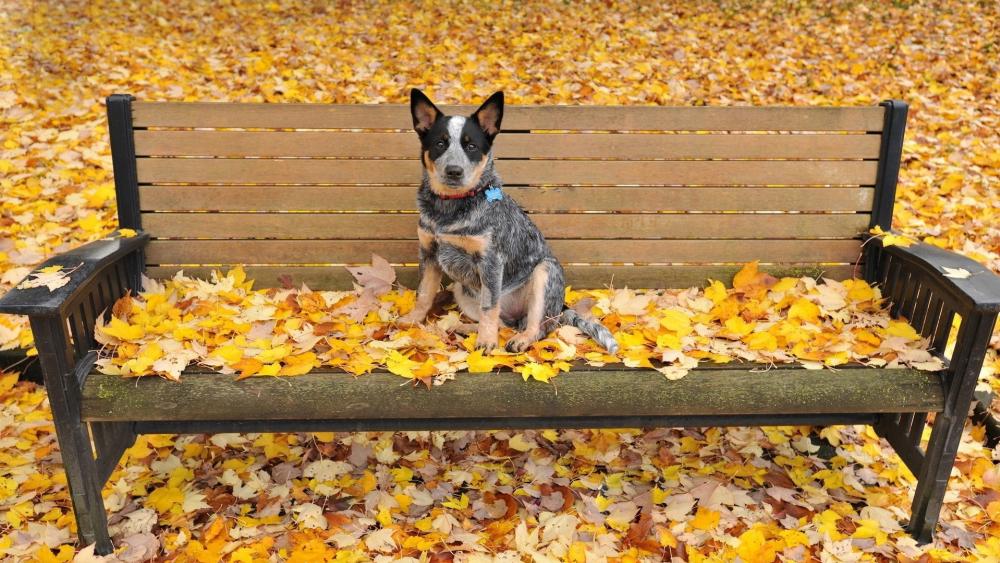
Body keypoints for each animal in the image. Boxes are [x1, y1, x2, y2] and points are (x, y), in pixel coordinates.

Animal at [398, 88, 616, 354]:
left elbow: (489, 307)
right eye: (440, 143)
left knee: (539, 327)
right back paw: (466, 327)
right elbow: (424, 294)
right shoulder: (429, 253)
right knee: (502, 322)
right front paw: (412, 321)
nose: (454, 171)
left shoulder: (491, 261)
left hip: (545, 273)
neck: (449, 209)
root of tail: (560, 308)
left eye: (471, 146)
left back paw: (521, 338)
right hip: (461, 288)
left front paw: (486, 342)